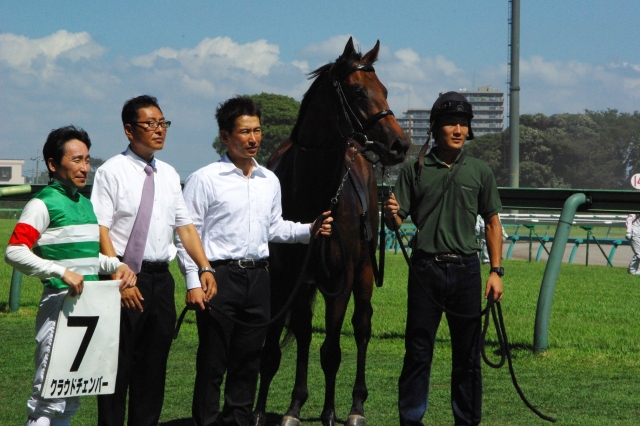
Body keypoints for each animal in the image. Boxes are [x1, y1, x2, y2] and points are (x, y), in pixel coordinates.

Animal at [251, 37, 409, 426]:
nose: (399, 145)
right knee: (305, 332)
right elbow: (275, 350)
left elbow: (332, 351)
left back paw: (355, 406)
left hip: (364, 272)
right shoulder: (285, 277)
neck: (311, 190)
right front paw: (265, 411)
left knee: (362, 327)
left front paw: (330, 413)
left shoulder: (340, 278)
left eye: (384, 90)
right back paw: (295, 405)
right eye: (358, 92)